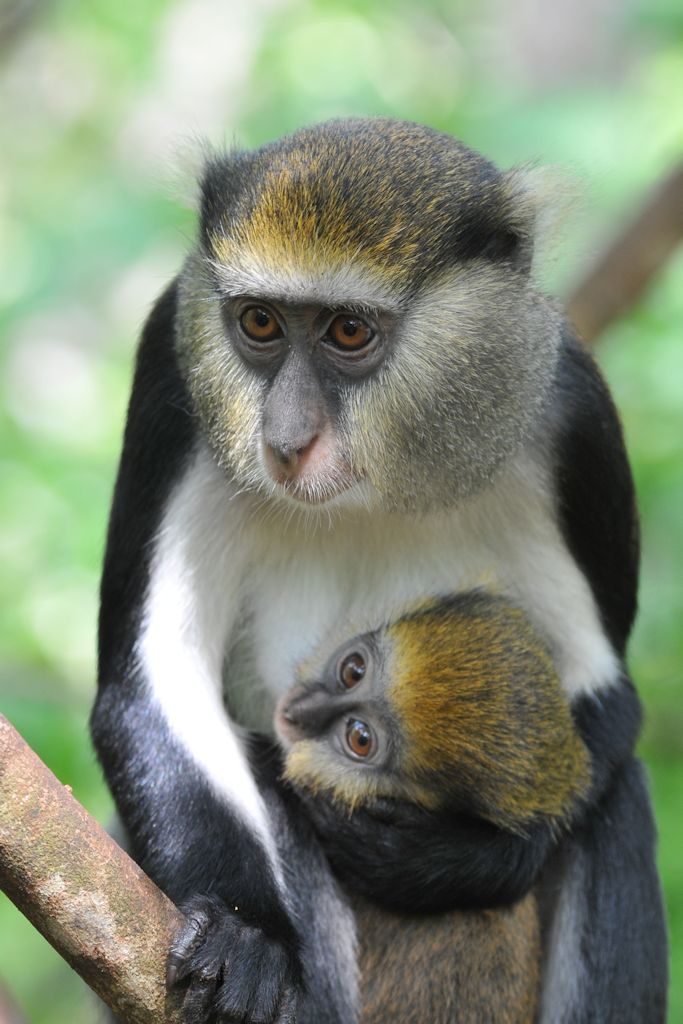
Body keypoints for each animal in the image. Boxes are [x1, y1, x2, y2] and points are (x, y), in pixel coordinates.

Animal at [92, 118, 667, 1023]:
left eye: (349, 333)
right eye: (259, 322)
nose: (285, 439)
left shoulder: (573, 417)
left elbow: (603, 699)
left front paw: (456, 861)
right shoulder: (167, 372)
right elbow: (156, 686)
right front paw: (246, 935)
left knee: (616, 797)